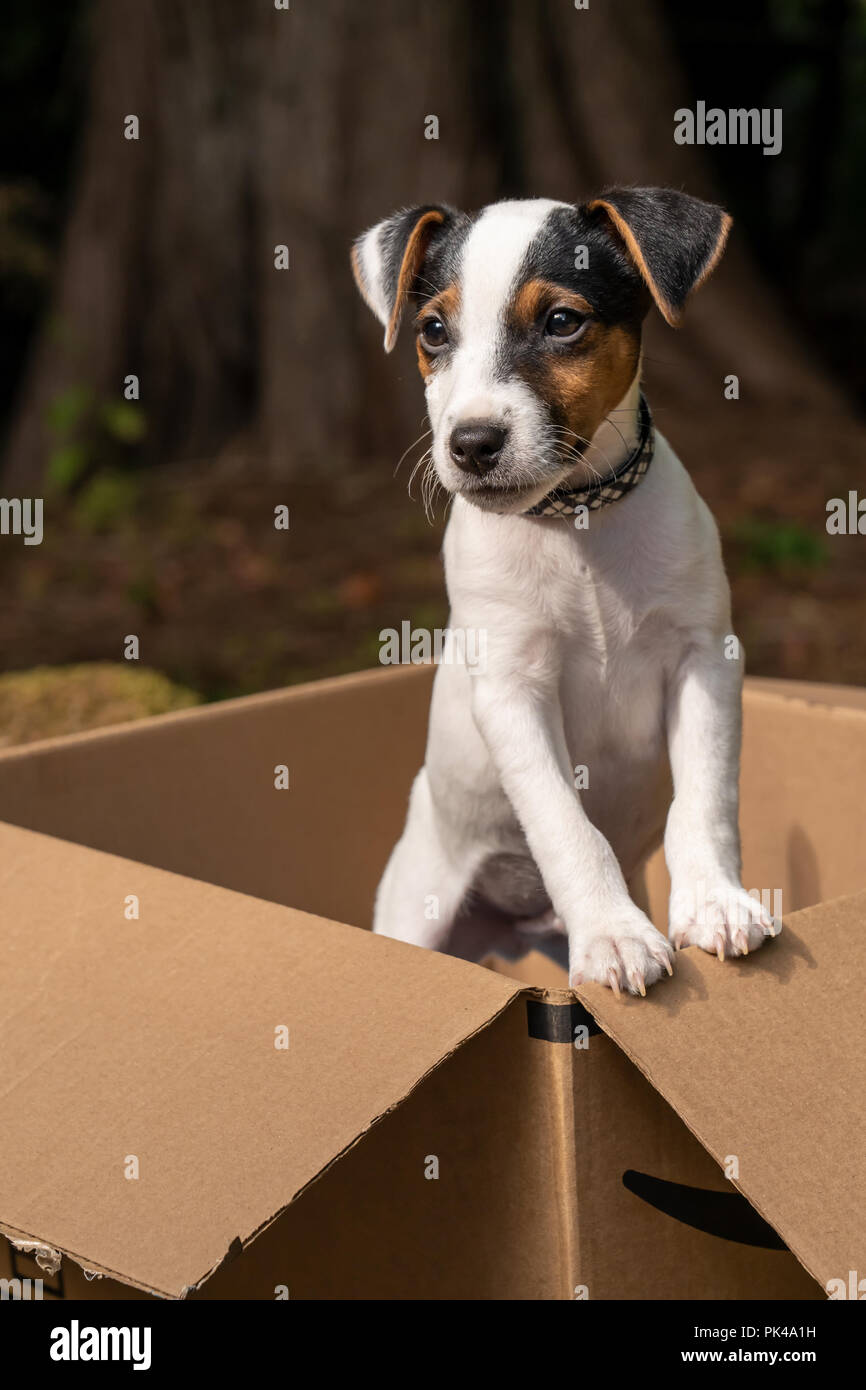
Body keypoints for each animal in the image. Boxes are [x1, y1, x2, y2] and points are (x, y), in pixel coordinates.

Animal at [353, 193, 778, 1000]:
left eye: (561, 321)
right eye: (433, 331)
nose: (471, 443)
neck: (575, 519)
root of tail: (520, 928)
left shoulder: (706, 659)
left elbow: (706, 798)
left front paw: (715, 901)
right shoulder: (512, 692)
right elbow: (565, 824)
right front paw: (613, 935)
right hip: (415, 910)